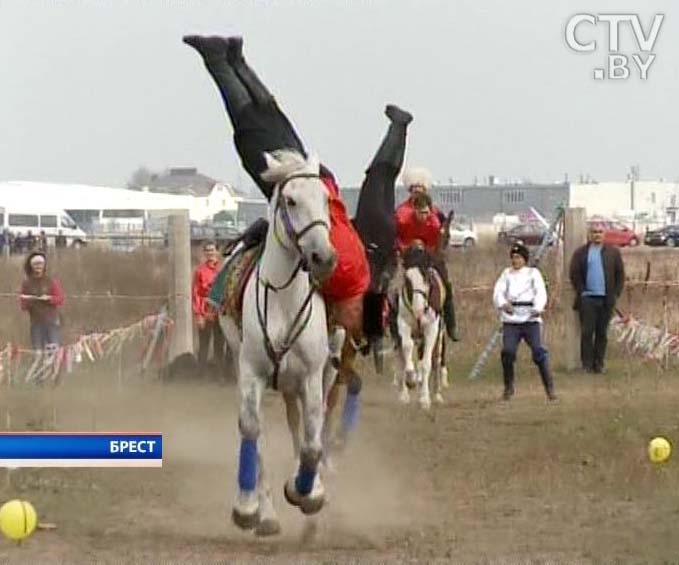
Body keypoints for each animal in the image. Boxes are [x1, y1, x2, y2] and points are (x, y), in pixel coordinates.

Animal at [222, 148, 338, 536]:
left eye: (325, 199)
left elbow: (312, 442)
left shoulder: (311, 376)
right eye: (291, 200)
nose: (324, 257)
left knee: (302, 426)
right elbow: (251, 432)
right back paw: (268, 515)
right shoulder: (251, 374)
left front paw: (307, 492)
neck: (283, 301)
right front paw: (248, 509)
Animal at [396, 245, 448, 408]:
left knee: (436, 359)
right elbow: (407, 347)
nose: (418, 310)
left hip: (439, 336)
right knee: (402, 357)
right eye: (407, 279)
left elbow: (426, 364)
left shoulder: (431, 329)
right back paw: (405, 393)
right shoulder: (403, 324)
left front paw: (425, 399)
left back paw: (436, 394)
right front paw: (410, 379)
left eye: (426, 276)